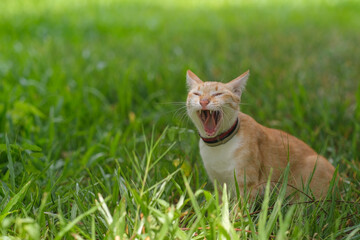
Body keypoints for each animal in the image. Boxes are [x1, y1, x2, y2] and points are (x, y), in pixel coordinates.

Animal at [187, 69, 336, 199]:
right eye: (197, 94)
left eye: (218, 94)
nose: (204, 101)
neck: (219, 146)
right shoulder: (219, 184)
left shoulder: (248, 184)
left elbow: (239, 210)